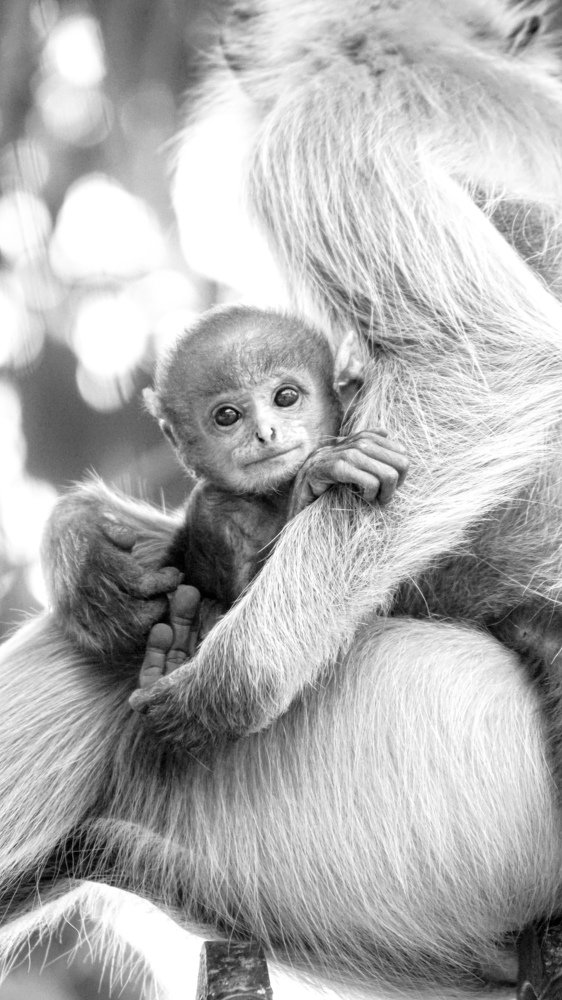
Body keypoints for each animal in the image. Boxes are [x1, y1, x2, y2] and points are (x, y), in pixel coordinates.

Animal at [2, 2, 562, 998]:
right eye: (230, 414)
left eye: (286, 398)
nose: (269, 432)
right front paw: (87, 553)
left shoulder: (328, 115)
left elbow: (498, 360)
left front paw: (229, 684)